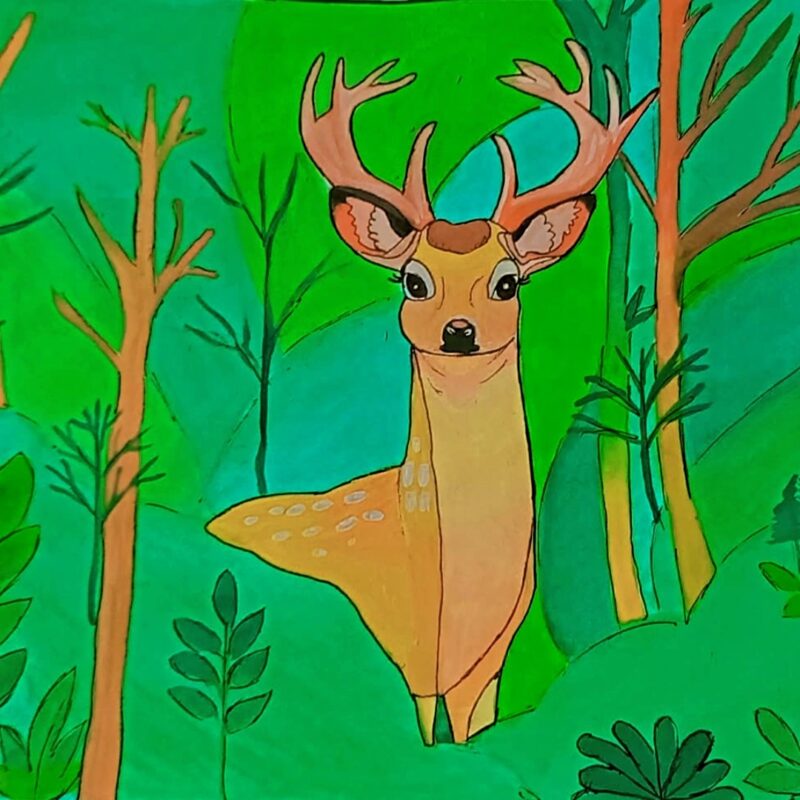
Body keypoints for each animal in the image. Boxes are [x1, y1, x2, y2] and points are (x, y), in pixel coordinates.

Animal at [207, 41, 655, 745]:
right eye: (413, 281)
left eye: (508, 281)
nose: (459, 330)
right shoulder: (406, 653)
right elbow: (424, 740)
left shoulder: (489, 666)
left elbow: (471, 736)